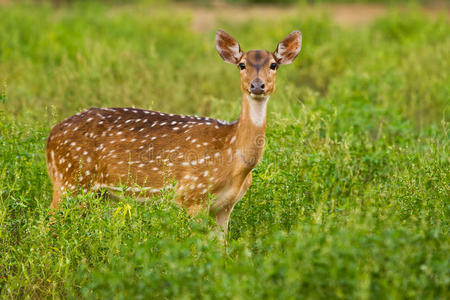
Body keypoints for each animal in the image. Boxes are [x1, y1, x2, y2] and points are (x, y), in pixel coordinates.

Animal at [45, 29, 302, 236]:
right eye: (242, 64)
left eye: (273, 65)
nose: (257, 85)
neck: (232, 156)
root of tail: (49, 139)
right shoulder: (192, 195)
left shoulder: (225, 206)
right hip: (70, 182)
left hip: (97, 193)